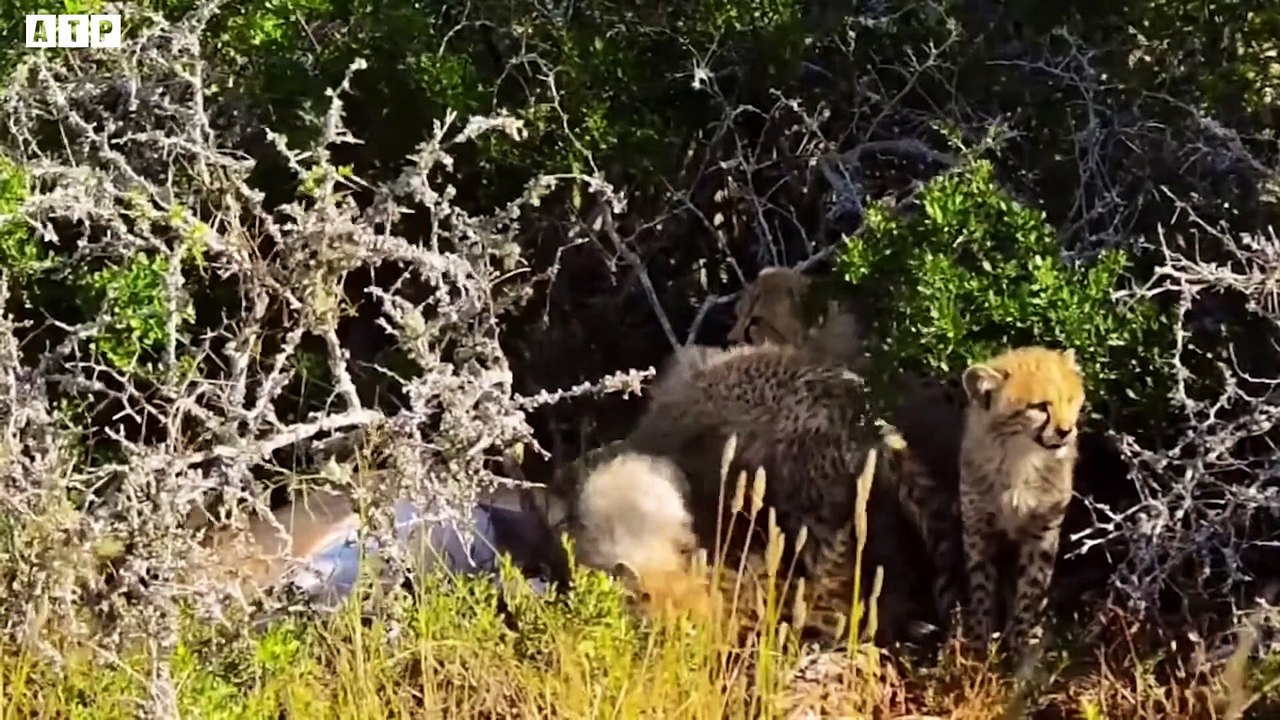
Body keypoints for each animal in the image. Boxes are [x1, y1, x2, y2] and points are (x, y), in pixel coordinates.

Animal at [957, 346, 1085, 668]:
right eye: (1039, 406)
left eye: (1071, 400)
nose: (1066, 431)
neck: (1020, 457)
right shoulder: (978, 529)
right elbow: (981, 588)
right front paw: (979, 649)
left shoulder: (1043, 531)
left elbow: (1030, 591)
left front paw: (1021, 652)